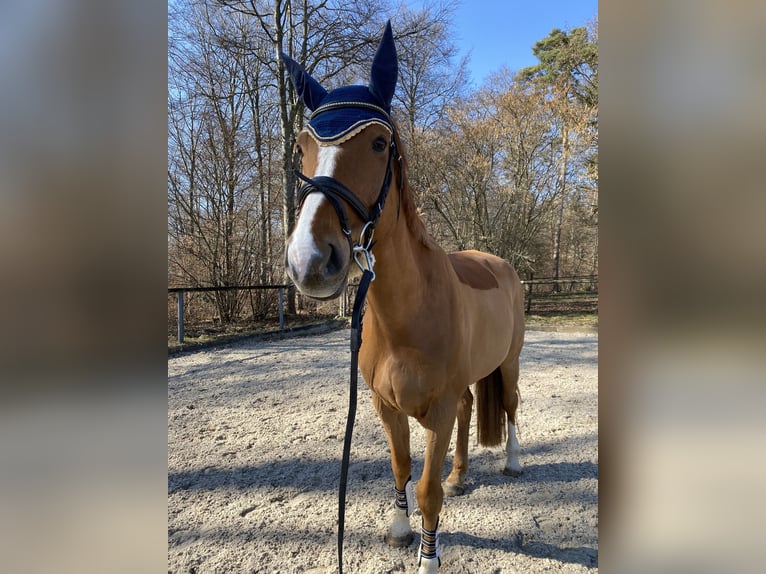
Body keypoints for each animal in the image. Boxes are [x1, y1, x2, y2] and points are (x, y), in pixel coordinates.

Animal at [281, 22, 524, 574]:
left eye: (378, 142)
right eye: (302, 145)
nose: (309, 259)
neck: (406, 319)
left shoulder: (434, 411)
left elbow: (427, 490)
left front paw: (428, 559)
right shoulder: (384, 405)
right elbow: (400, 466)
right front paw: (398, 529)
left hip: (510, 362)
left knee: (511, 405)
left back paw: (513, 462)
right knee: (472, 407)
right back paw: (461, 476)